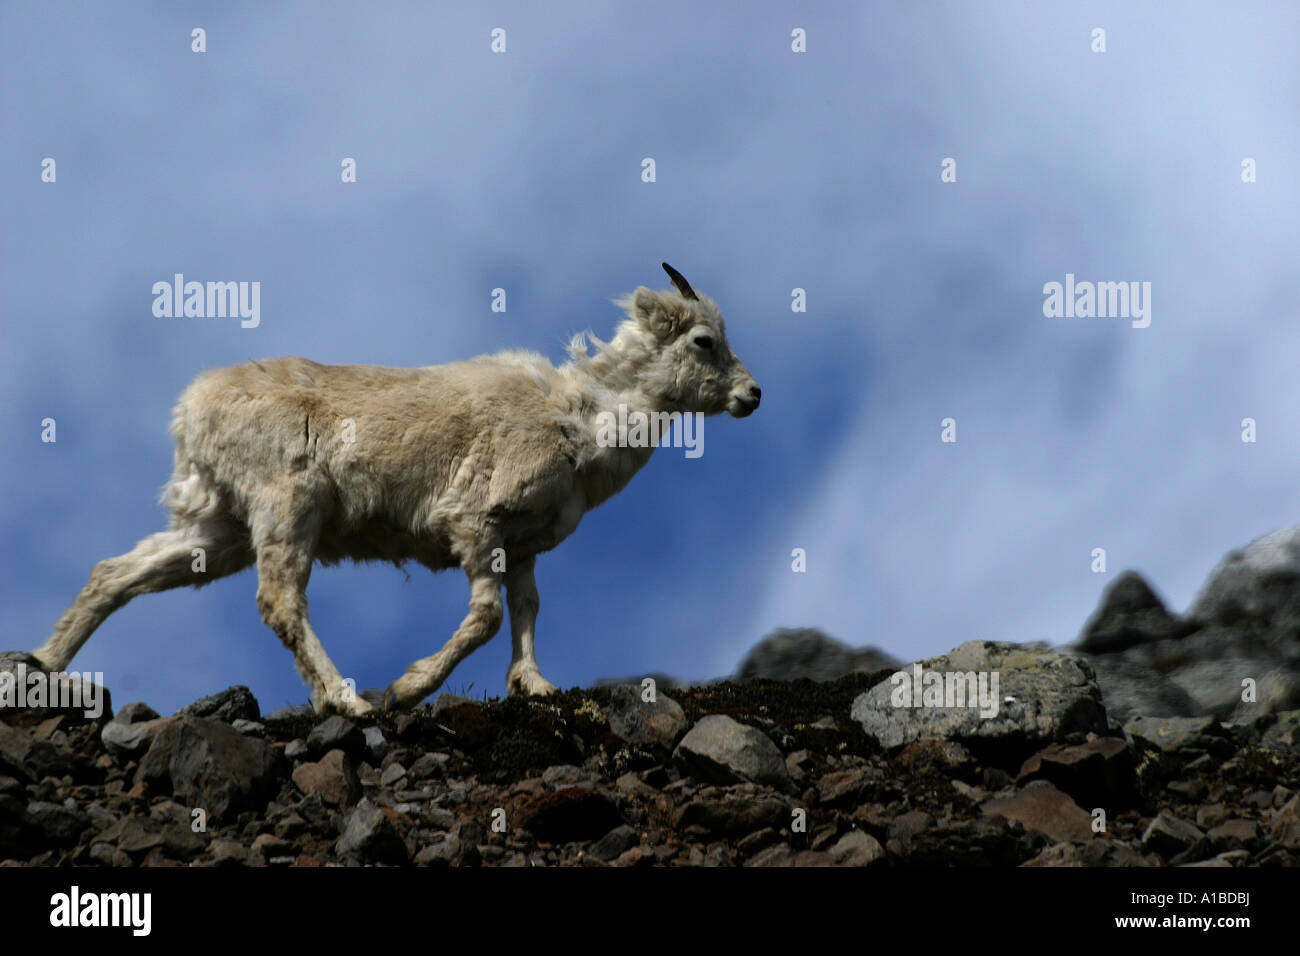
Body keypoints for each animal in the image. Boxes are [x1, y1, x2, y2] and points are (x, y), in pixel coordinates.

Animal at [35, 265, 759, 712]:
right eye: (703, 340)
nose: (752, 396)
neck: (581, 420)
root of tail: (192, 408)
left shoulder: (524, 547)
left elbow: (527, 611)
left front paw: (536, 686)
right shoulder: (474, 525)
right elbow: (486, 617)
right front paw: (405, 690)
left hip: (219, 532)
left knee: (115, 575)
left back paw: (41, 666)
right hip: (285, 507)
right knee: (279, 601)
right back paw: (350, 702)